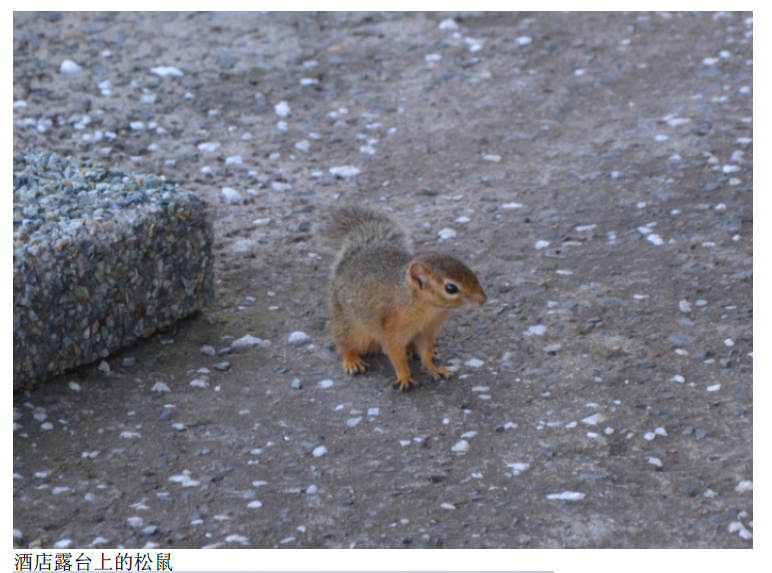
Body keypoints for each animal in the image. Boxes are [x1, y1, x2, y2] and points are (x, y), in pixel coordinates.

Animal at [324, 206, 482, 388]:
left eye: (470, 271)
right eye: (451, 288)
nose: (482, 299)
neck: (429, 309)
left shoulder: (427, 330)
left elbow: (426, 351)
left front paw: (433, 368)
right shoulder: (392, 327)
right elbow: (395, 353)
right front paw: (404, 377)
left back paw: (412, 349)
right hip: (348, 325)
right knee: (345, 344)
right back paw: (352, 360)